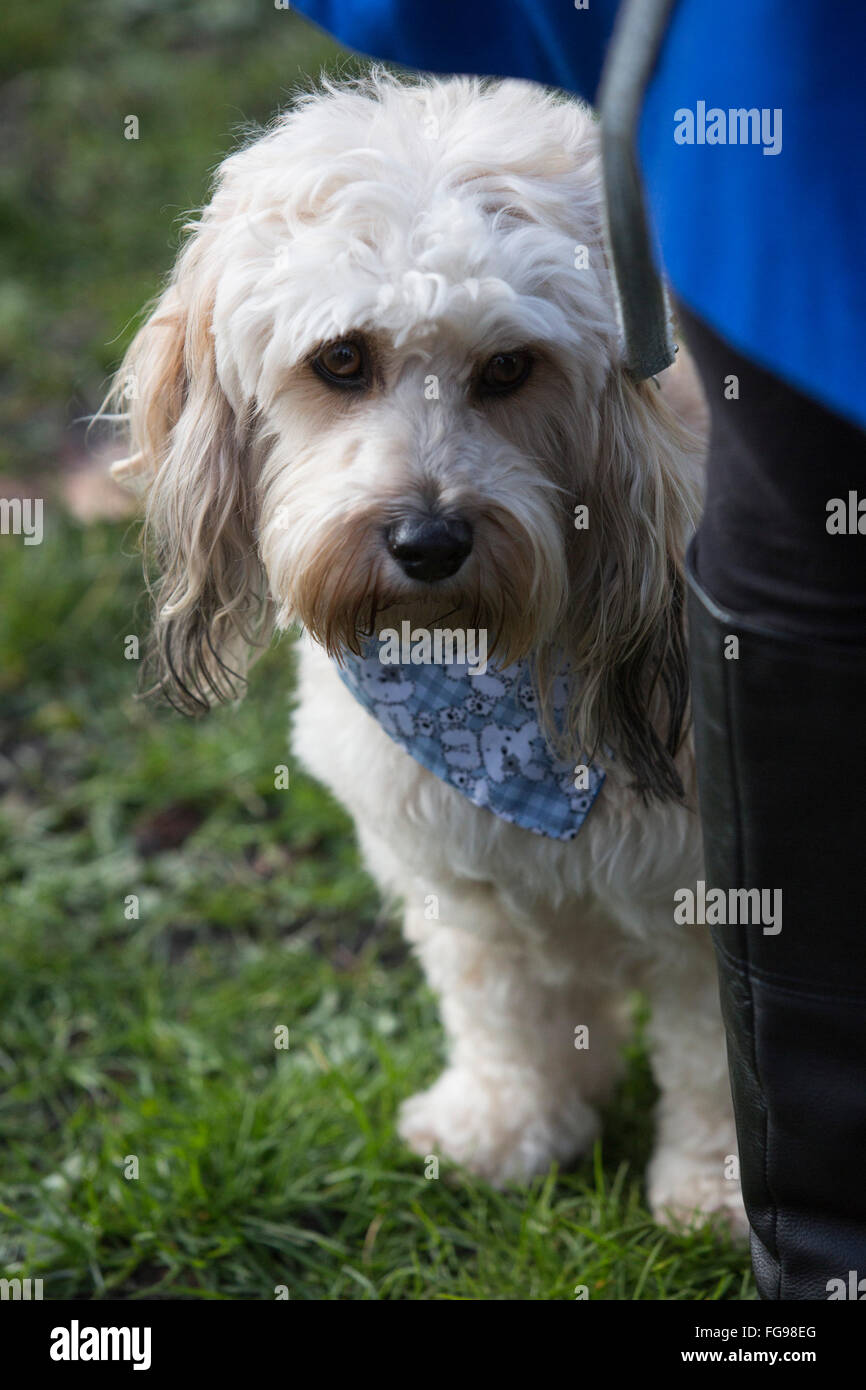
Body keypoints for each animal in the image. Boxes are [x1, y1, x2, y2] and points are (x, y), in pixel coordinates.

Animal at [108, 73, 745, 1228]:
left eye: (509, 366)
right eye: (340, 359)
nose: (429, 542)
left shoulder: (712, 891)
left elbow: (716, 1055)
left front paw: (718, 1196)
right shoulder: (459, 871)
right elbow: (505, 1013)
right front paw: (506, 1126)